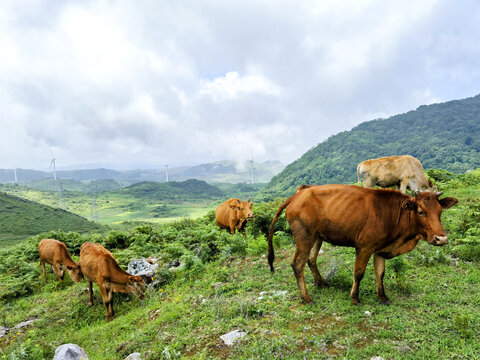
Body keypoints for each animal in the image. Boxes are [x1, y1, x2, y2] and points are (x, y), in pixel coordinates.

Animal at [266, 184, 458, 306]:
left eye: (440, 212)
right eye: (420, 211)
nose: (441, 239)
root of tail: (298, 195)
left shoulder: (380, 249)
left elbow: (380, 273)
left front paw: (383, 297)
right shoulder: (364, 247)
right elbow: (359, 273)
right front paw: (355, 298)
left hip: (316, 237)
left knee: (311, 259)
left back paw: (321, 283)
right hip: (304, 237)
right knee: (297, 264)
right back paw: (306, 297)